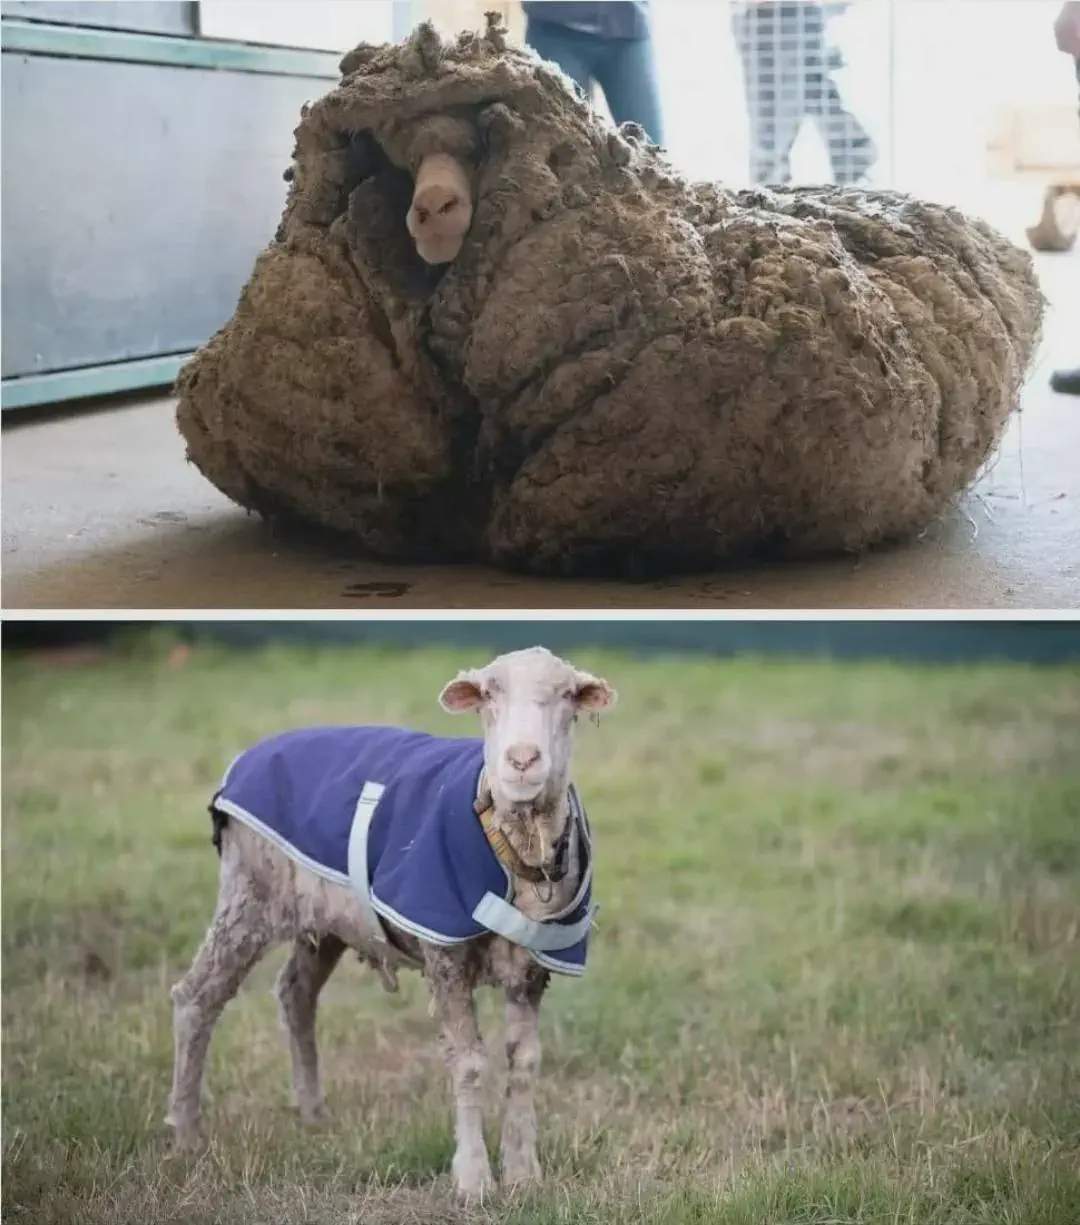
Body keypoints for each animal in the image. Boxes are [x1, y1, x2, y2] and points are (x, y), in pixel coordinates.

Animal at [165, 645, 616, 1199]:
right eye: (488, 695)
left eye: (567, 696)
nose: (522, 760)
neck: (515, 844)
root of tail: (245, 760)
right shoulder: (445, 955)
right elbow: (468, 1063)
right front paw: (473, 1179)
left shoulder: (532, 968)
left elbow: (525, 1062)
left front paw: (523, 1172)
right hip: (249, 892)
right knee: (196, 998)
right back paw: (186, 1133)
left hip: (325, 918)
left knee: (295, 993)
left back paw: (313, 1113)